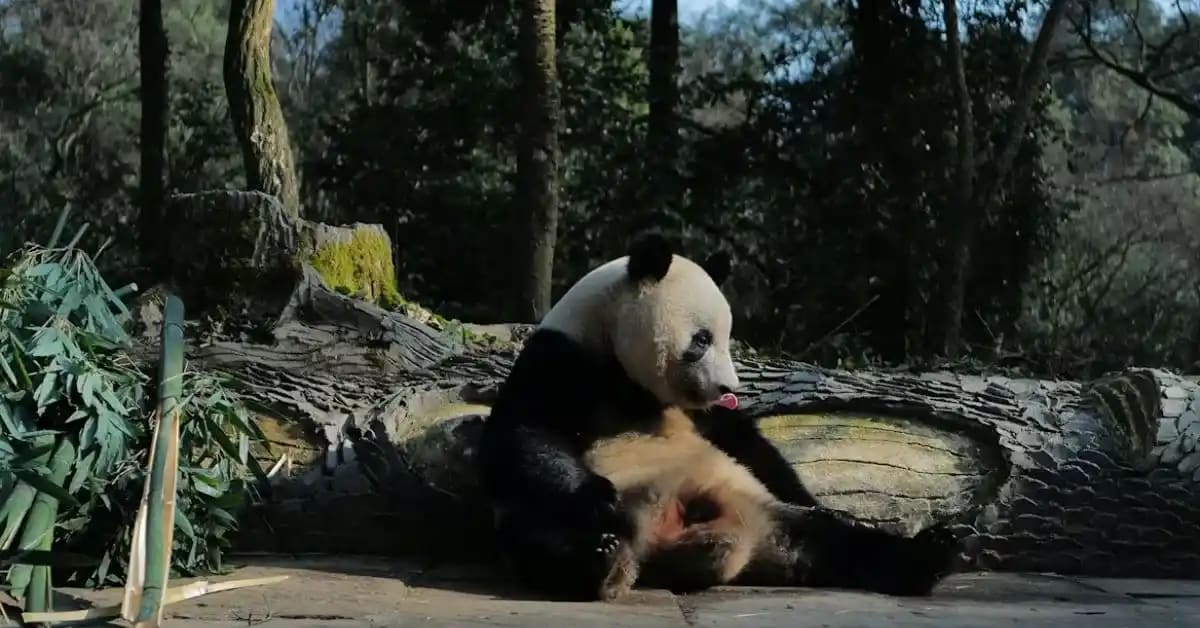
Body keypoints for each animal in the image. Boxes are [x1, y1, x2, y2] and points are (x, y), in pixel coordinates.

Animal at [477, 232, 958, 601]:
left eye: (728, 338)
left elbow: (751, 445)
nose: (729, 389)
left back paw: (934, 553)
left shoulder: (704, 415)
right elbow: (526, 435)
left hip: (773, 514)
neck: (630, 381)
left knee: (839, 541)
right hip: (548, 519)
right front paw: (598, 495)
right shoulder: (562, 358)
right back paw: (597, 560)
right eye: (702, 339)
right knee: (543, 530)